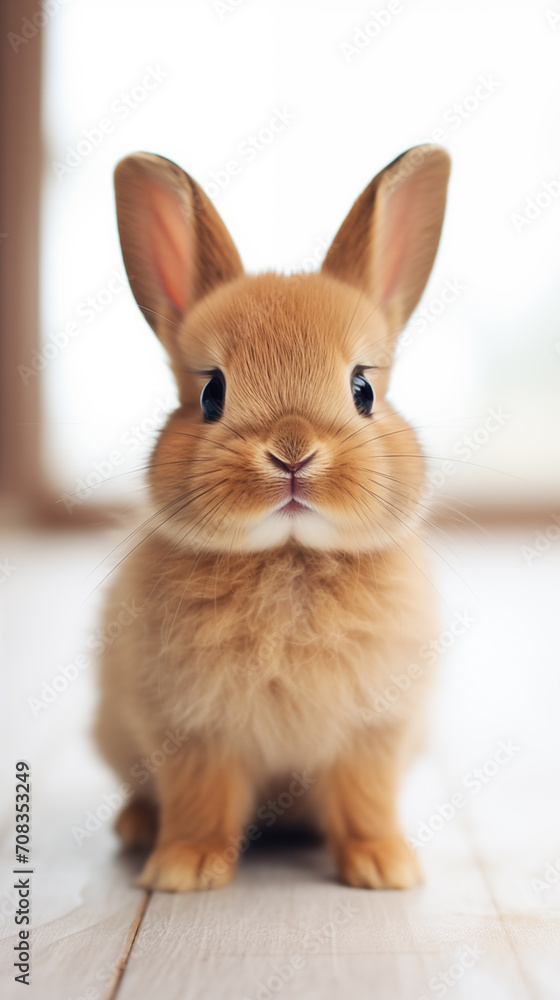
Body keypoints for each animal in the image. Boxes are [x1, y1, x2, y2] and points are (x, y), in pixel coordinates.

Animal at [94, 144, 451, 892]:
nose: (292, 452)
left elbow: (366, 798)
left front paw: (384, 868)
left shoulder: (374, 734)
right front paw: (185, 870)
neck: (290, 556)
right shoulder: (193, 734)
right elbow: (201, 800)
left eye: (363, 389)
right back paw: (137, 830)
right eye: (211, 393)